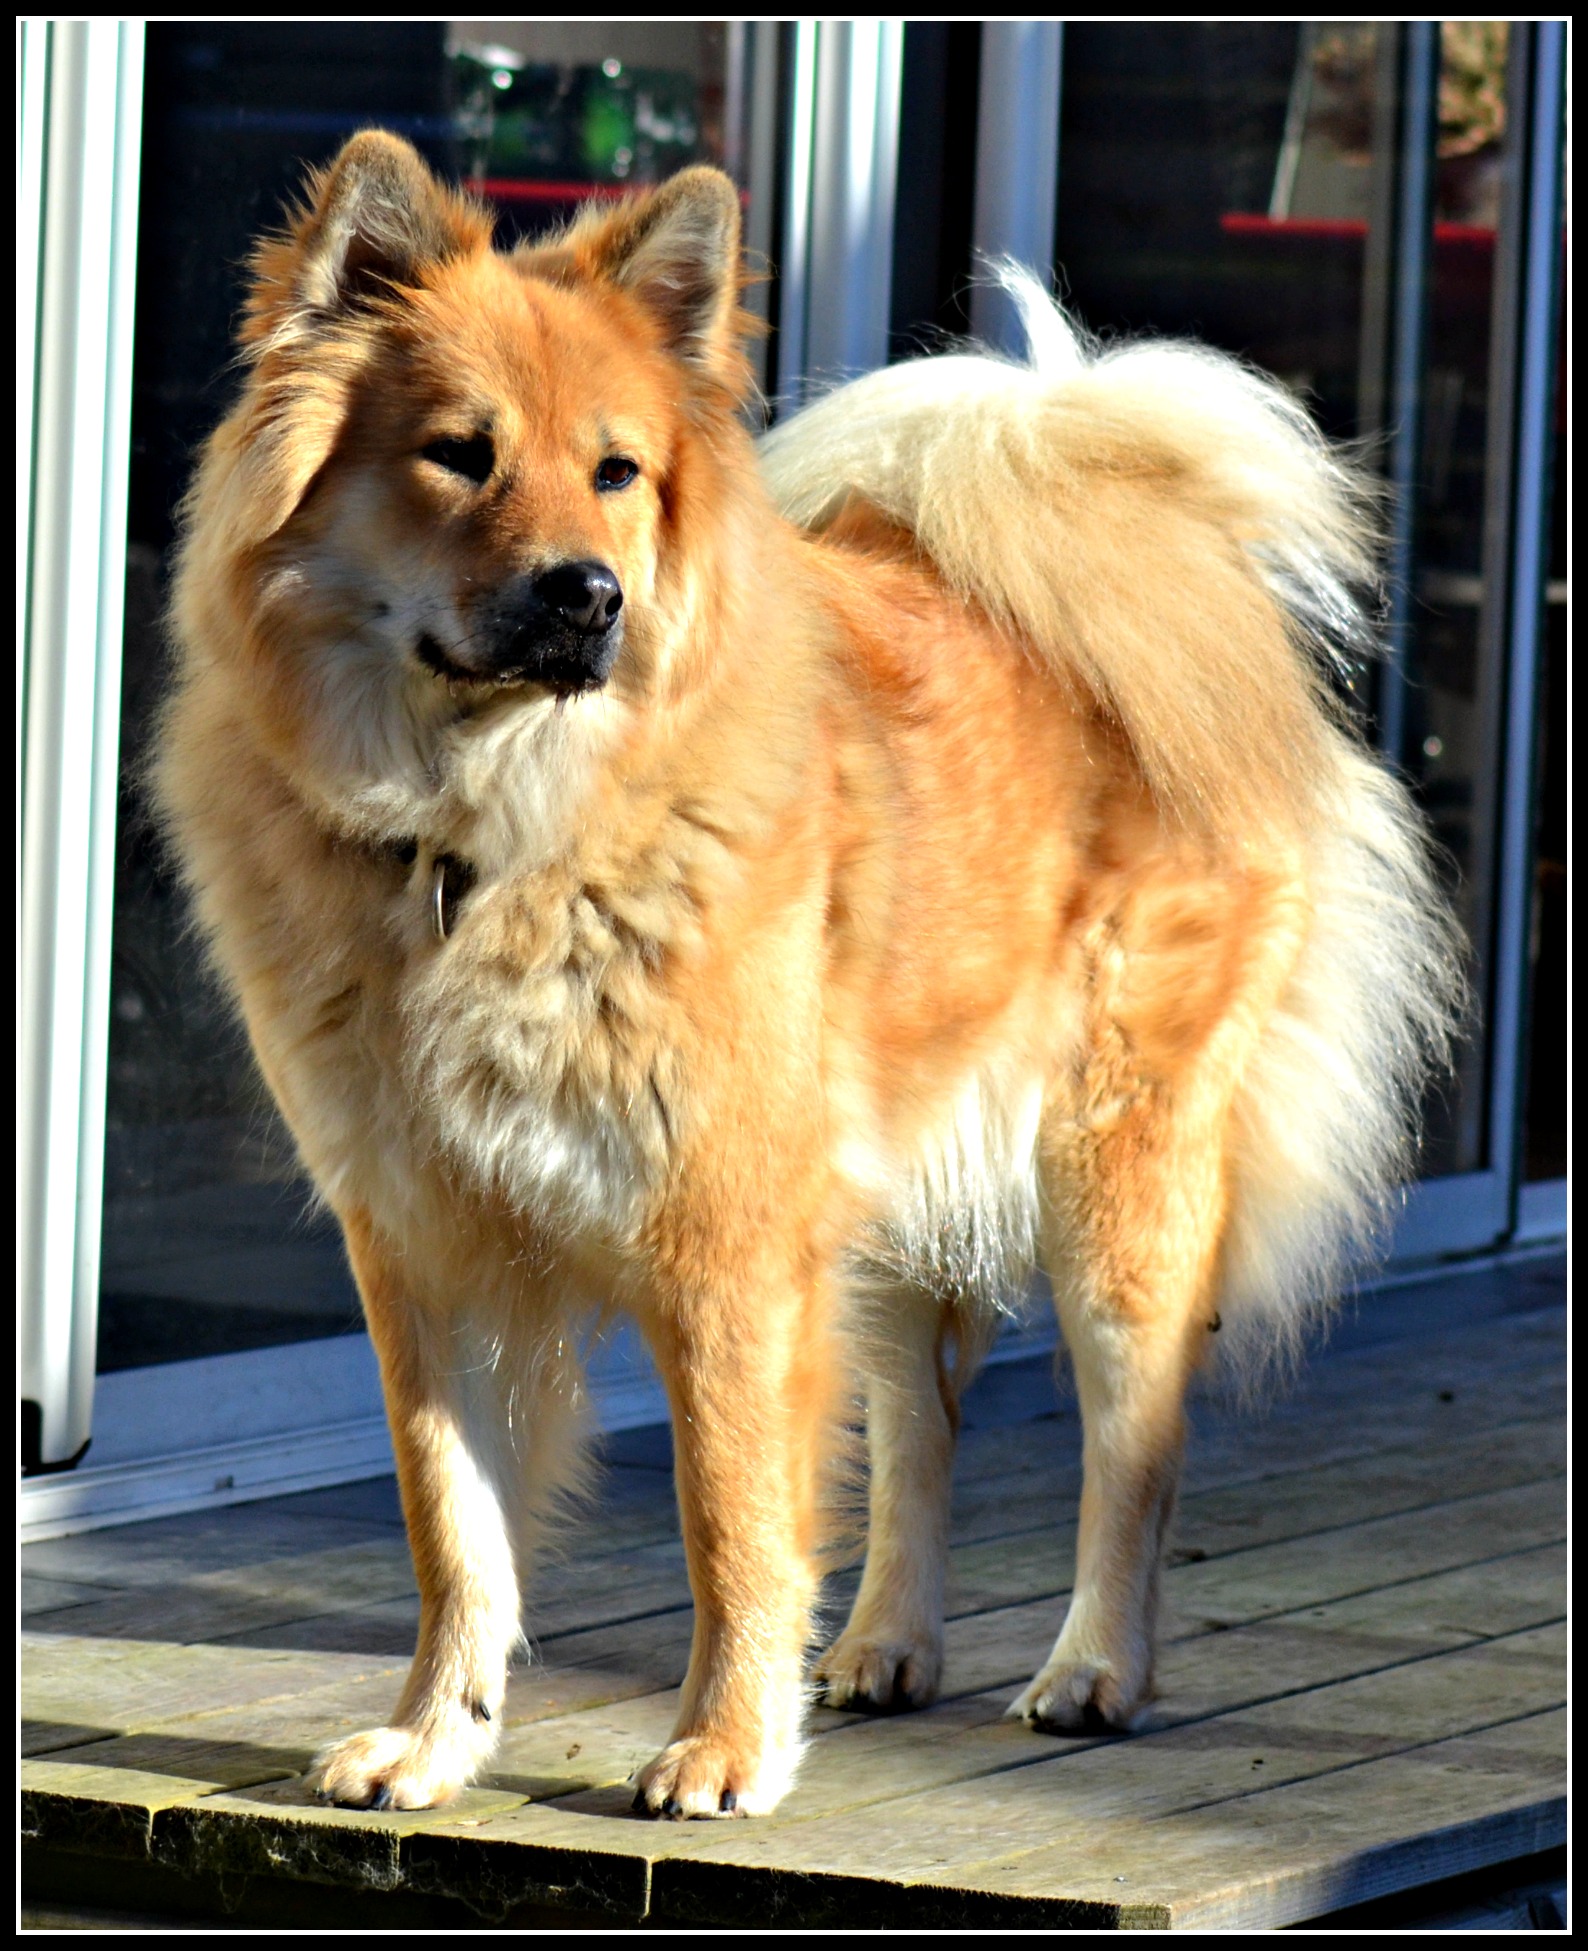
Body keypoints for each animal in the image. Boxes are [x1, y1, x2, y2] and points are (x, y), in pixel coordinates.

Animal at [155, 131, 1463, 1818]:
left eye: (618, 473)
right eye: (458, 454)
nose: (587, 594)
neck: (496, 830)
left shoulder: (725, 1235)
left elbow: (731, 1507)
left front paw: (722, 1743)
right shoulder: (427, 1243)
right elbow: (456, 1527)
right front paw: (438, 1735)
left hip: (1118, 1177)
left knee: (1135, 1440)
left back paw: (1096, 1669)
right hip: (888, 1195)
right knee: (921, 1420)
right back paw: (887, 1647)